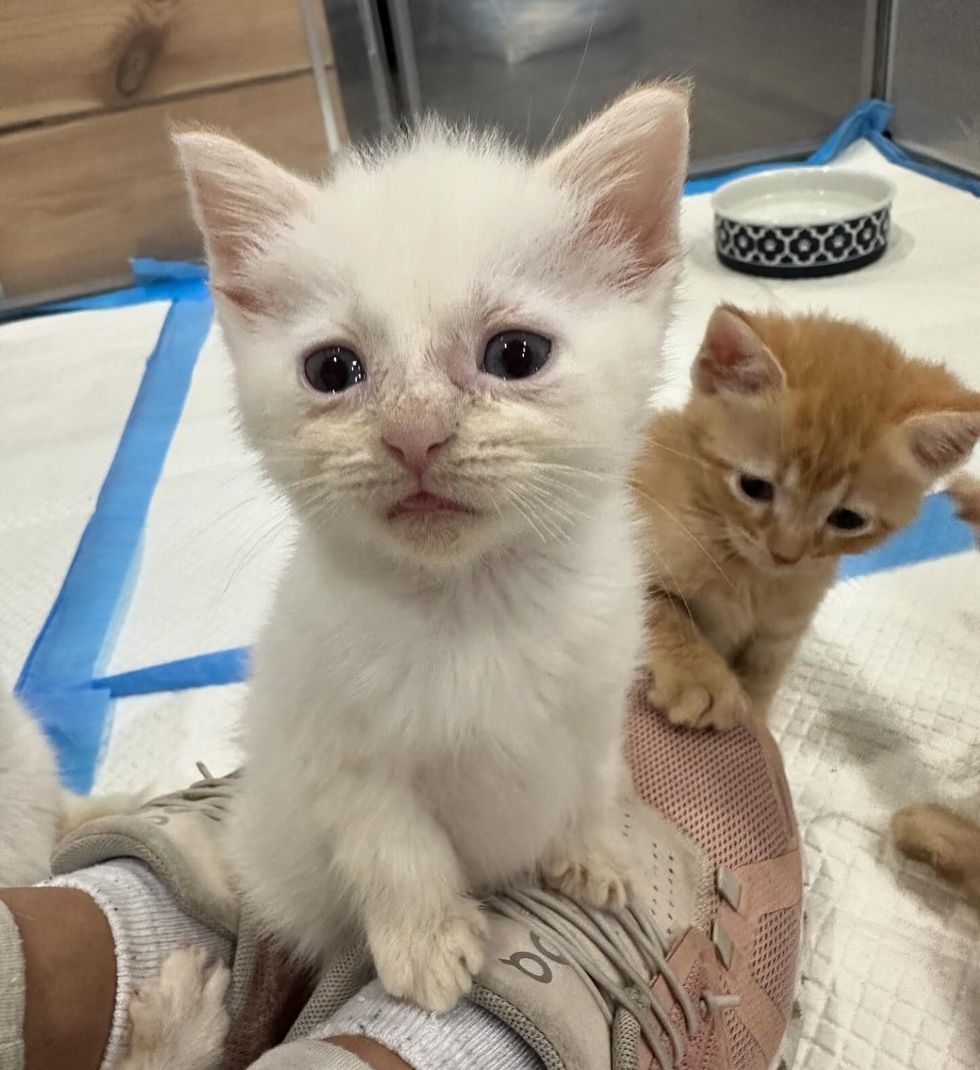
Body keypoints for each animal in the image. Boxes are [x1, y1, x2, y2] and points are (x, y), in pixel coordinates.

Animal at [176, 83, 688, 1010]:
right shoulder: (340, 754)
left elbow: (592, 777)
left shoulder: (599, 694)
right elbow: (397, 850)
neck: (472, 602)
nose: (414, 432)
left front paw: (594, 849)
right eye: (332, 369)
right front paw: (427, 942)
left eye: (515, 353)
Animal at [633, 306, 980, 731]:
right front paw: (700, 678)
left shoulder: (778, 637)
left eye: (847, 519)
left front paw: (755, 720)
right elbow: (660, 609)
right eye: (754, 487)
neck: (748, 576)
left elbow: (760, 689)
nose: (785, 554)